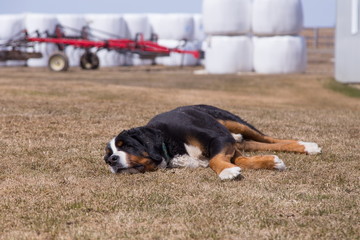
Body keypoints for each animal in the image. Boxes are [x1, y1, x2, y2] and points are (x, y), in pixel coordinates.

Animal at [103, 105, 320, 180]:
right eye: (107, 156)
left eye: (126, 145)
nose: (112, 160)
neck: (169, 143)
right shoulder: (228, 145)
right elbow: (242, 161)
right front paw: (271, 162)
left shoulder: (219, 139)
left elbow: (216, 161)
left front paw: (227, 172)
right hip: (236, 138)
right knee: (260, 144)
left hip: (233, 122)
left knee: (268, 138)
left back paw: (308, 146)